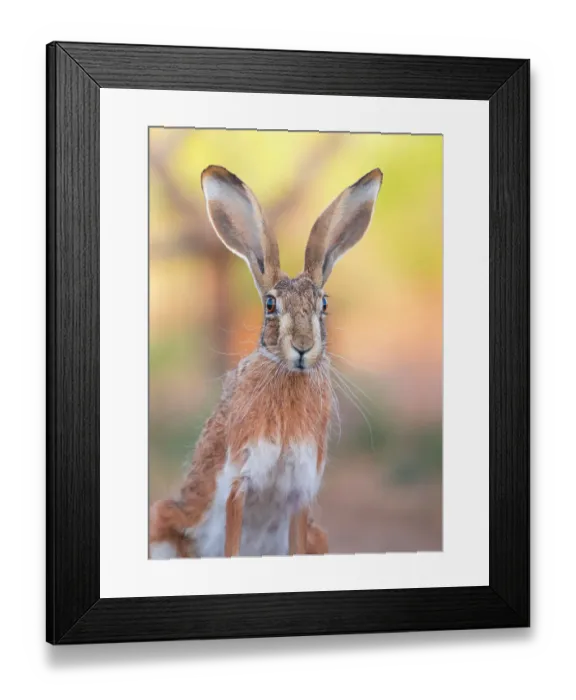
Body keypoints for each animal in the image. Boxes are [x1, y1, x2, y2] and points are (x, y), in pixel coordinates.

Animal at [149, 164, 383, 559]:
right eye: (271, 305)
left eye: (324, 304)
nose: (303, 347)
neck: (285, 373)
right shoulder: (239, 481)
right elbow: (231, 546)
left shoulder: (301, 489)